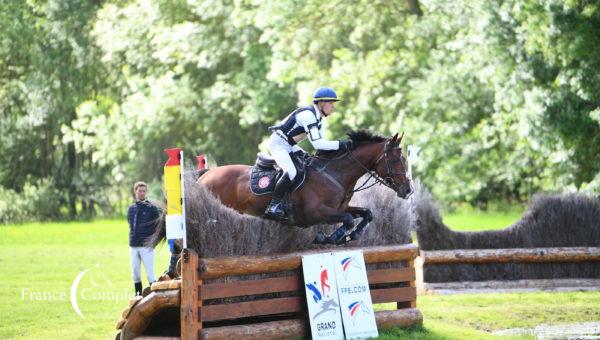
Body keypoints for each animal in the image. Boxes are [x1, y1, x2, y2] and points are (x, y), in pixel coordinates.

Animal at [197, 130, 412, 244]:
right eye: (395, 160)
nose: (408, 190)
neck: (334, 174)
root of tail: (206, 175)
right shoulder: (316, 212)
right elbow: (348, 219)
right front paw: (331, 238)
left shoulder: (340, 208)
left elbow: (366, 213)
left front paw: (354, 235)